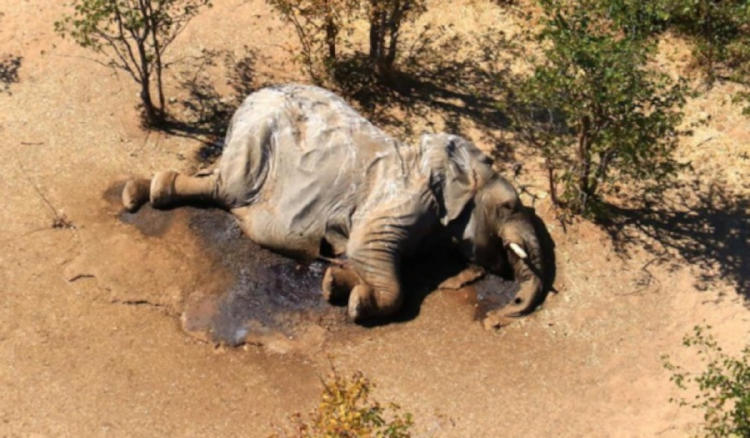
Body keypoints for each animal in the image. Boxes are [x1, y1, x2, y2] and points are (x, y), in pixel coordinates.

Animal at [122, 84, 550, 328]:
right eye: (509, 206)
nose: (497, 319)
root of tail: (250, 97)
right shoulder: (404, 200)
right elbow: (368, 251)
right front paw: (359, 304)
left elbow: (364, 258)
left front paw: (335, 284)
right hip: (256, 138)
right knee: (226, 188)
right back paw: (142, 193)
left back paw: (138, 191)